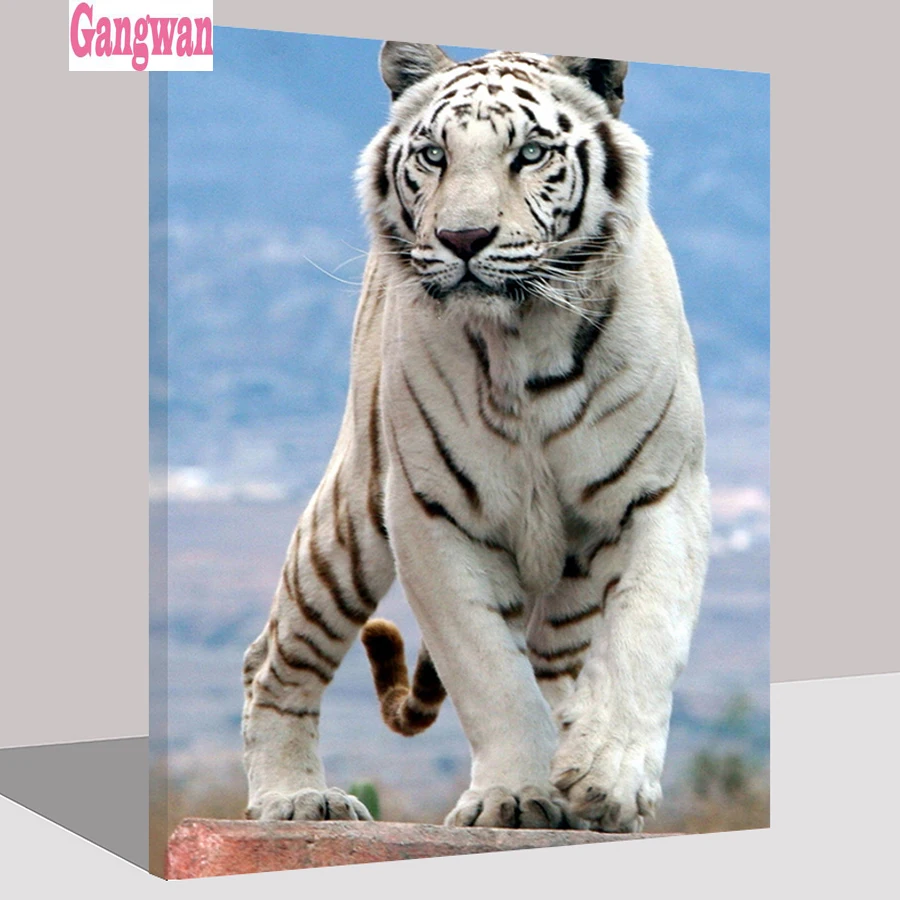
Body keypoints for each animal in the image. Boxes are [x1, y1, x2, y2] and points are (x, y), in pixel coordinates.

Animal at [241, 41, 711, 834]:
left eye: (531, 152)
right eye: (434, 154)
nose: (463, 239)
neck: (526, 340)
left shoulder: (664, 494)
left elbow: (643, 636)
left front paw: (607, 778)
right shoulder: (431, 515)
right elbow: (490, 673)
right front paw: (516, 794)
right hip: (349, 523)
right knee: (273, 657)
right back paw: (295, 798)